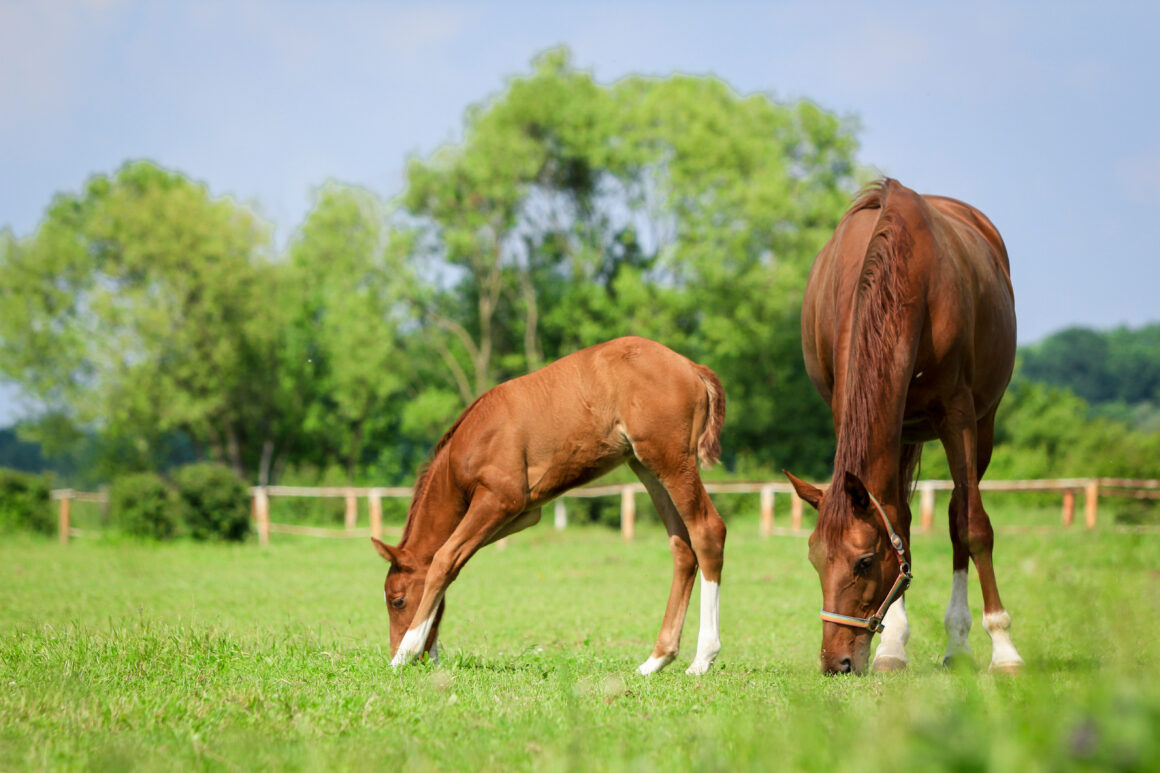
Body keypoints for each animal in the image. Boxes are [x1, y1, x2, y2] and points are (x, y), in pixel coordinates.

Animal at [371, 334, 723, 673]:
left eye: (398, 600)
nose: (415, 657)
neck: (473, 440)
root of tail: (692, 367)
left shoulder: (500, 499)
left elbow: (444, 559)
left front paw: (403, 655)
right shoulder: (524, 512)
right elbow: (451, 560)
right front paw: (427, 652)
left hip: (671, 460)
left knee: (708, 531)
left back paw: (702, 659)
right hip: (646, 465)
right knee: (682, 546)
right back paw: (656, 660)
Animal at [788, 177, 1025, 673]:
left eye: (863, 562)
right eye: (815, 560)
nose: (836, 662)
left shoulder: (958, 415)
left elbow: (974, 526)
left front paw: (1004, 648)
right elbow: (896, 521)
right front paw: (893, 646)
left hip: (983, 425)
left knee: (958, 515)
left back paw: (959, 643)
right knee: (908, 517)